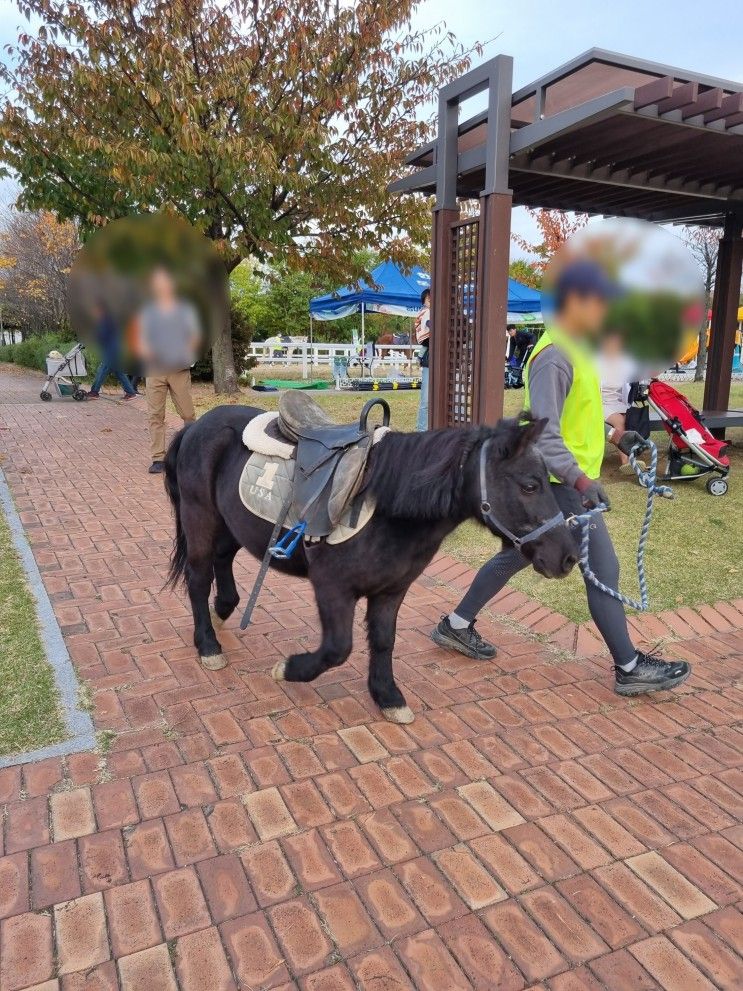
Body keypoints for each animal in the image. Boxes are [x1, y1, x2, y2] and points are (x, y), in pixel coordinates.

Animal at [166, 406, 580, 724]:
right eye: (530, 485)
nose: (568, 557)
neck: (386, 503)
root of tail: (197, 425)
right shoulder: (332, 588)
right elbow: (338, 648)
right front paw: (290, 669)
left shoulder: (391, 590)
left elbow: (383, 641)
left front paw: (388, 696)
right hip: (200, 518)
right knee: (198, 577)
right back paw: (208, 644)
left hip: (230, 523)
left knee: (222, 559)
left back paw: (223, 609)